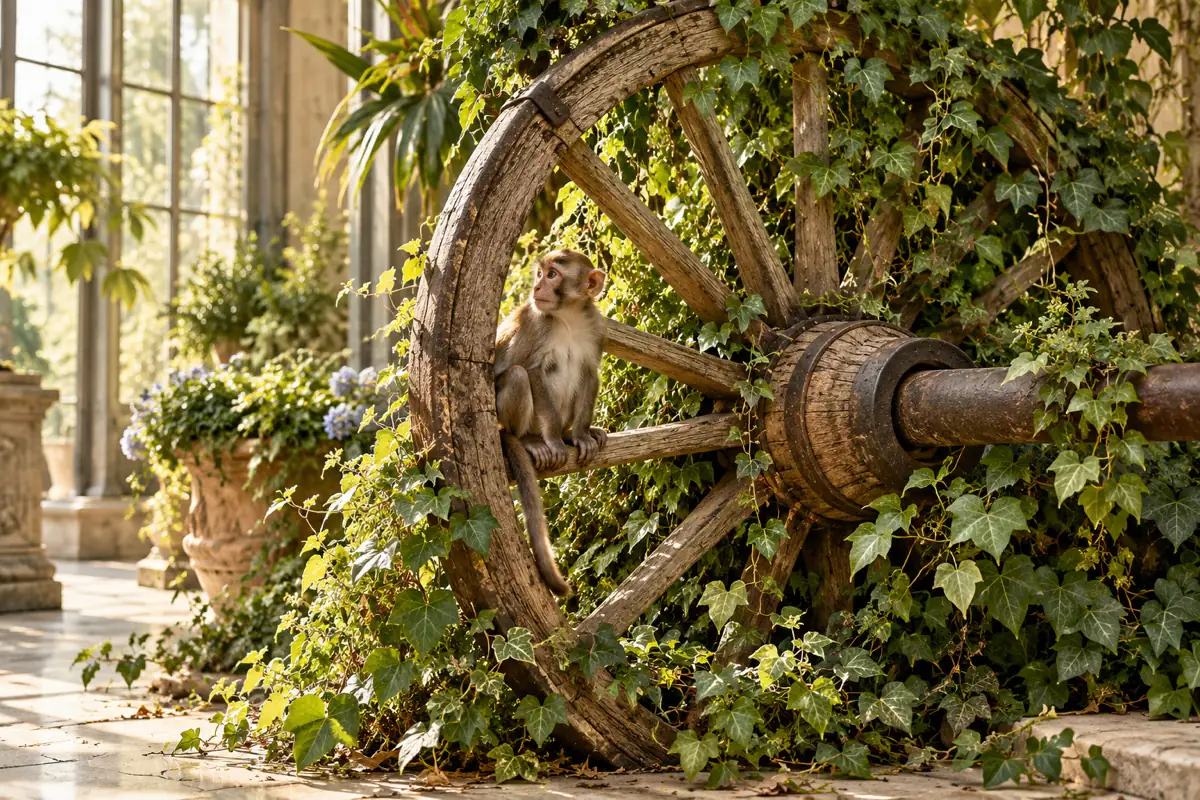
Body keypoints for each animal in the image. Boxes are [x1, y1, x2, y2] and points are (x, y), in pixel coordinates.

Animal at [494, 249, 608, 596]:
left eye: (553, 275)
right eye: (539, 273)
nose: (536, 288)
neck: (567, 318)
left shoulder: (595, 328)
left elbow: (590, 373)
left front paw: (580, 435)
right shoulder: (534, 323)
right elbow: (530, 369)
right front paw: (557, 440)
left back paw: (572, 432)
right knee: (518, 375)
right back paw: (533, 440)